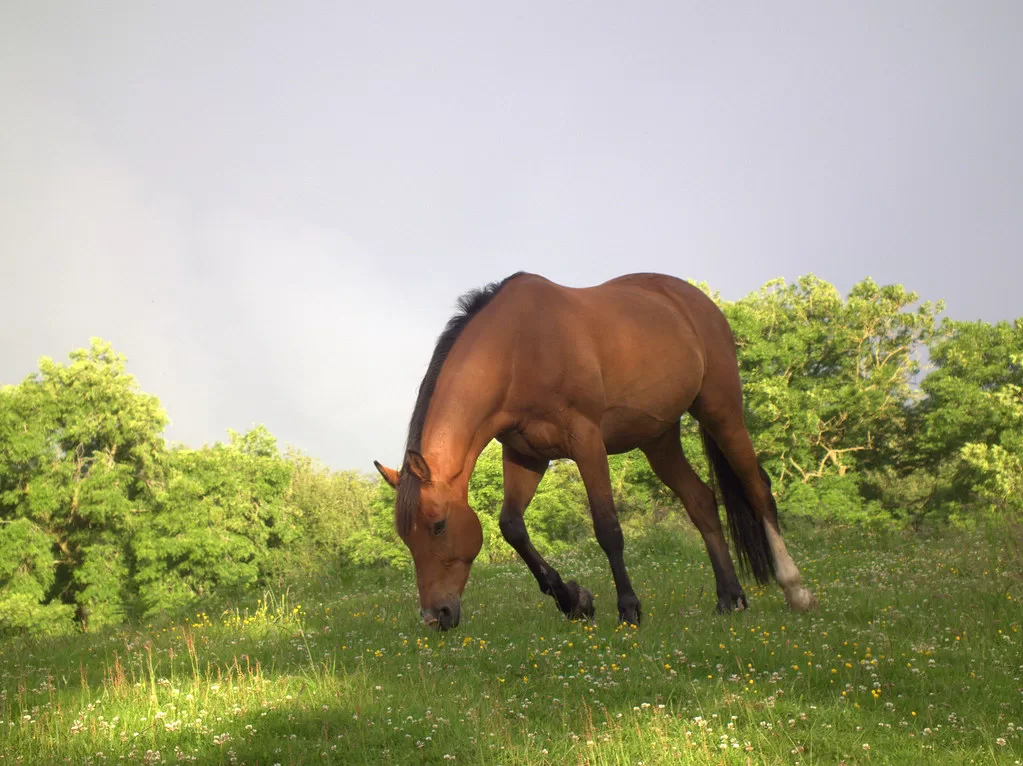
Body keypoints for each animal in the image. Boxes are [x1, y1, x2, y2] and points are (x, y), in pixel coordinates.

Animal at [374, 272, 814, 629]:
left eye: (438, 525)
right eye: (406, 538)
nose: (435, 617)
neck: (518, 349)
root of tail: (697, 301)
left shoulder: (587, 442)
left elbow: (607, 528)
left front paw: (628, 608)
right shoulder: (526, 455)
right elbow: (512, 527)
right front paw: (575, 601)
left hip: (722, 412)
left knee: (758, 490)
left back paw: (795, 590)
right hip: (659, 440)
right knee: (701, 501)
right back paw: (730, 598)